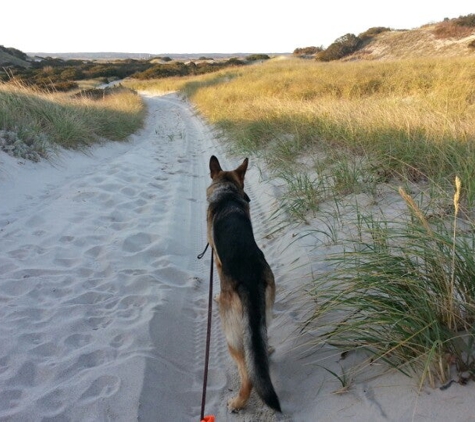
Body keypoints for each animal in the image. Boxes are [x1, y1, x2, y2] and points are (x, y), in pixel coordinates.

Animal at [206, 155, 280, 412]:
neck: (227, 193)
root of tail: (249, 278)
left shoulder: (217, 261)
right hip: (263, 313)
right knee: (258, 349)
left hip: (231, 336)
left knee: (247, 374)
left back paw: (238, 402)